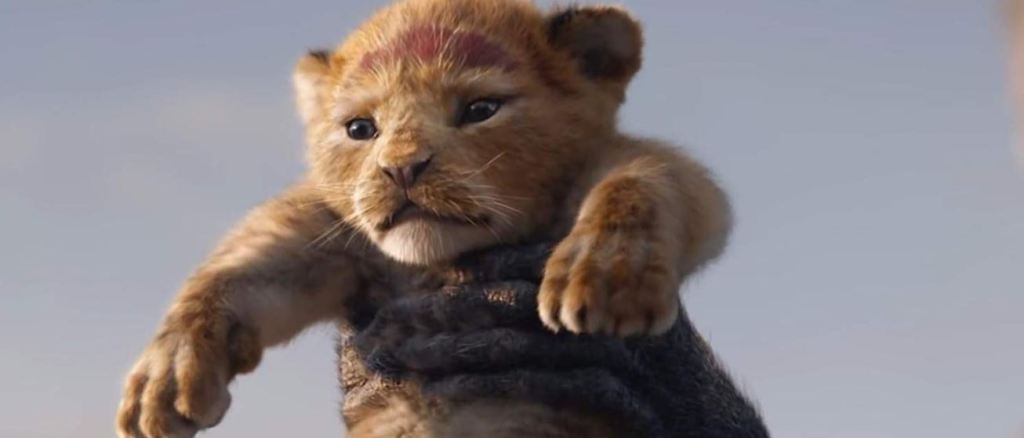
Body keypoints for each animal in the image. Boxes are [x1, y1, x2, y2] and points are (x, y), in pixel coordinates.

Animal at [115, 0, 732, 436]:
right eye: (361, 128)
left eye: (481, 110)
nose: (401, 169)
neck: (441, 264)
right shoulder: (336, 240)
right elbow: (238, 268)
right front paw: (165, 379)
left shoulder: (630, 168)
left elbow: (645, 181)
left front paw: (607, 276)